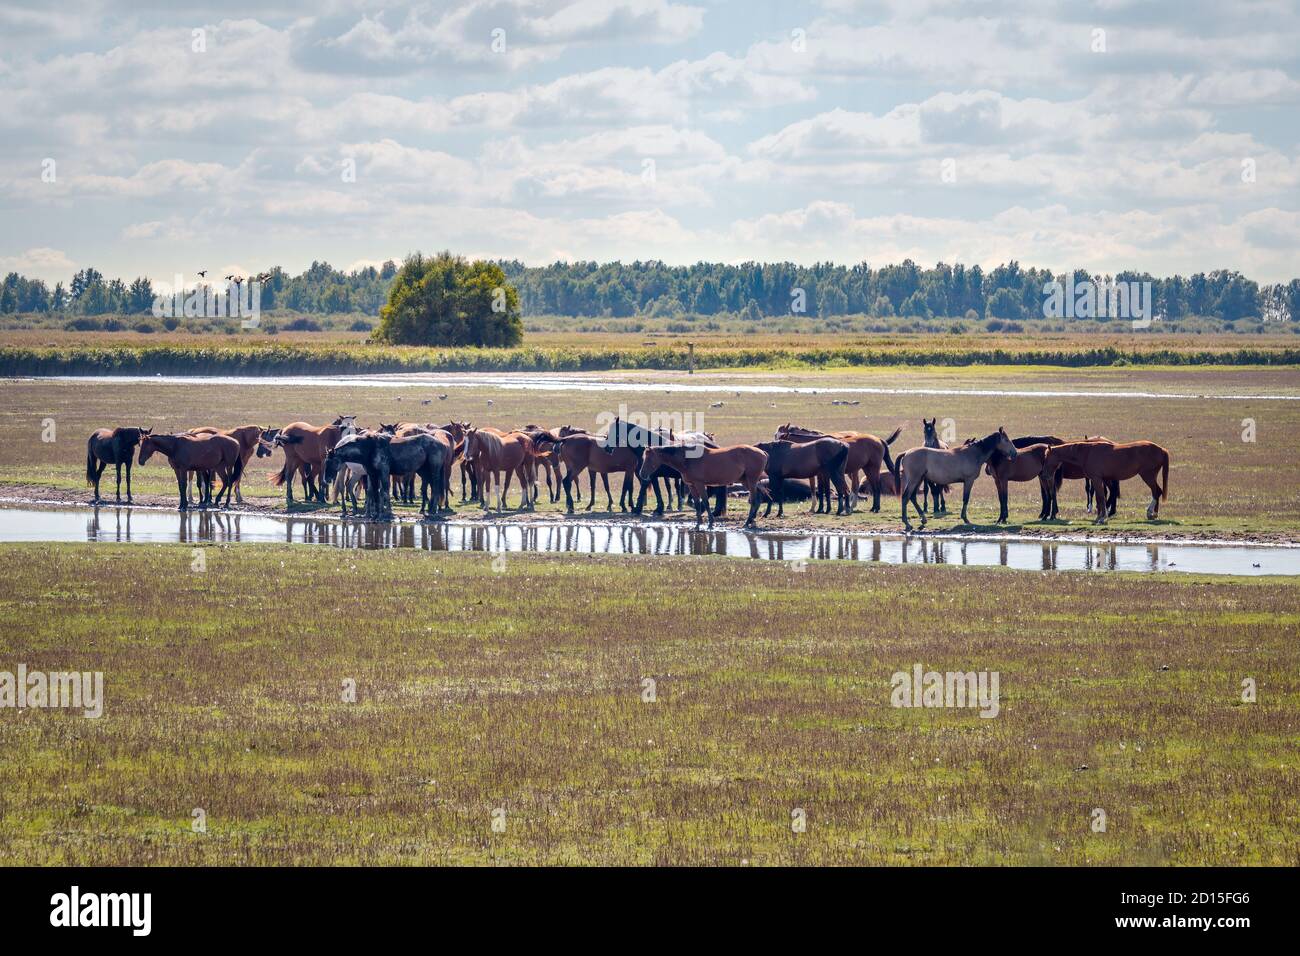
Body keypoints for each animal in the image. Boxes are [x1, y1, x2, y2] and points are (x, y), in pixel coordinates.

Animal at [639, 444, 768, 529]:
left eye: (649, 458)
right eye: (644, 458)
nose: (641, 474)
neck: (687, 459)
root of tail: (763, 453)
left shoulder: (699, 484)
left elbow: (705, 502)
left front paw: (710, 523)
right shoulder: (692, 486)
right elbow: (697, 504)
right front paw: (698, 524)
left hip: (751, 481)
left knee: (754, 501)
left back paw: (747, 522)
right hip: (747, 482)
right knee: (757, 500)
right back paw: (751, 521)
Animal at [1040, 441, 1169, 524]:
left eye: (1046, 457)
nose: (1044, 474)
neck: (1087, 452)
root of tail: (1162, 450)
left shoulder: (1096, 479)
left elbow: (1101, 498)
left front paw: (1102, 518)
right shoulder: (1101, 479)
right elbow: (1100, 498)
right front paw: (1100, 517)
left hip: (1148, 476)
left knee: (1156, 492)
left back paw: (1150, 513)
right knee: (1157, 492)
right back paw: (1154, 514)